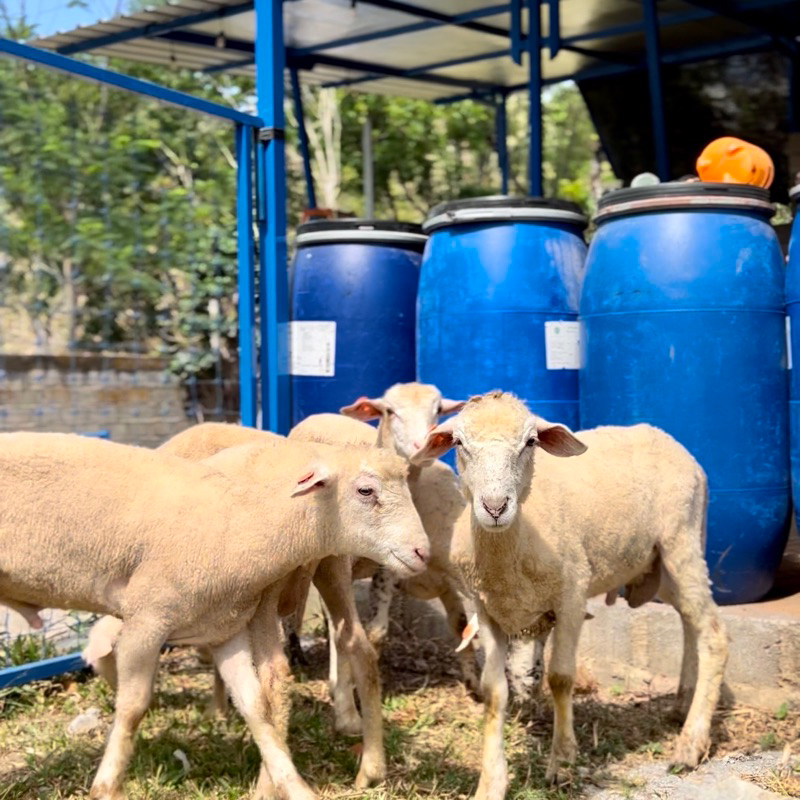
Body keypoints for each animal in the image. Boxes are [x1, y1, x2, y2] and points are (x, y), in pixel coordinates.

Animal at [1, 432, 432, 800]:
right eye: (366, 490)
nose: (423, 553)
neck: (242, 520)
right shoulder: (150, 618)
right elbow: (135, 707)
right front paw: (107, 787)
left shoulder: (223, 629)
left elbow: (255, 706)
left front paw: (293, 787)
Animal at [412, 390, 732, 796]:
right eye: (459, 444)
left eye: (530, 442)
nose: (495, 507)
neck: (514, 546)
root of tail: (668, 439)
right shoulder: (487, 611)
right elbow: (494, 691)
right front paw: (491, 784)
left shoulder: (571, 596)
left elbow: (561, 678)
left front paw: (562, 763)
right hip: (663, 564)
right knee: (693, 624)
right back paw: (681, 706)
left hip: (682, 541)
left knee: (714, 635)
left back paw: (690, 745)